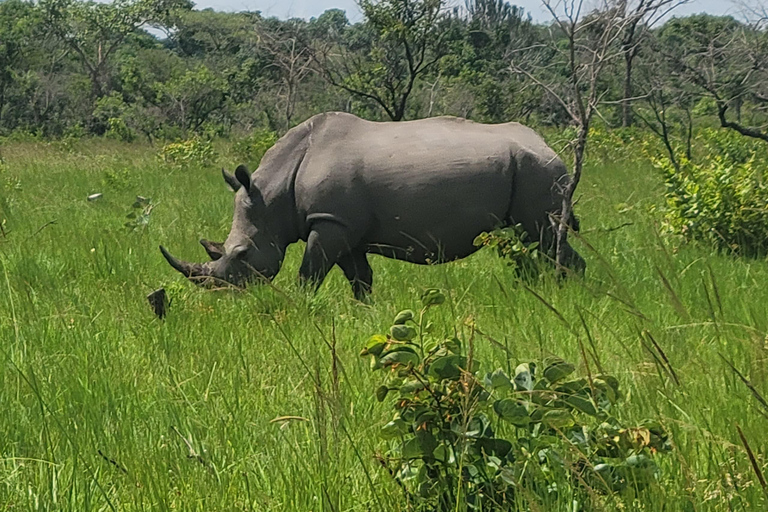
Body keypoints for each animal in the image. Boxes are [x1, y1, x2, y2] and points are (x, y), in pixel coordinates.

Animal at [160, 112, 585, 299]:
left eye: (242, 254)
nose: (224, 296)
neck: (273, 193)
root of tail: (549, 146)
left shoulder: (329, 222)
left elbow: (309, 273)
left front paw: (300, 308)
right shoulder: (343, 226)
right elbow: (359, 277)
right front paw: (364, 310)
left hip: (538, 171)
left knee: (543, 235)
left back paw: (566, 294)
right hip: (530, 169)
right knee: (527, 240)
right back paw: (534, 292)